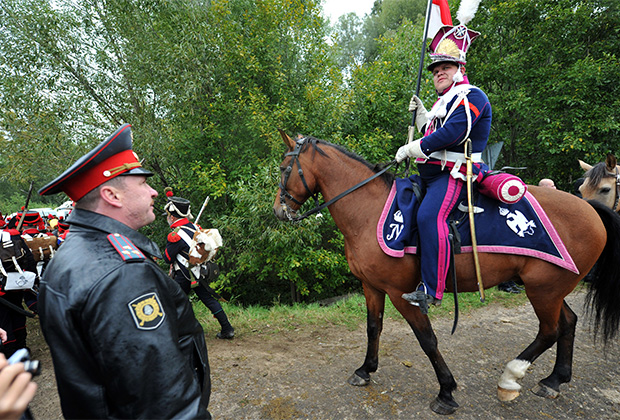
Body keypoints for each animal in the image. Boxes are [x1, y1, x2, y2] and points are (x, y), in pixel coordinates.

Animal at [272, 133, 620, 416]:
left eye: (283, 168)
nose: (278, 211)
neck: (370, 211)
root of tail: (589, 209)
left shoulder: (404, 294)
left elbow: (427, 339)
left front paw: (446, 391)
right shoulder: (372, 286)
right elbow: (373, 328)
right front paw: (365, 370)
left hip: (543, 290)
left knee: (550, 330)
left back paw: (510, 377)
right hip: (551, 288)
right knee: (568, 323)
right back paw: (554, 380)